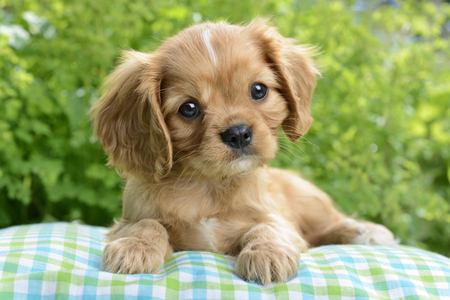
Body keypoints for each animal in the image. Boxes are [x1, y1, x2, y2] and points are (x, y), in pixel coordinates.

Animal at [90, 18, 394, 284]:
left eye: (258, 90)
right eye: (189, 108)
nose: (237, 134)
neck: (209, 185)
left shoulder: (279, 220)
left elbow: (267, 227)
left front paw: (267, 254)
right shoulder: (126, 221)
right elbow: (147, 225)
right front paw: (134, 247)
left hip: (310, 201)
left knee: (327, 224)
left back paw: (363, 231)